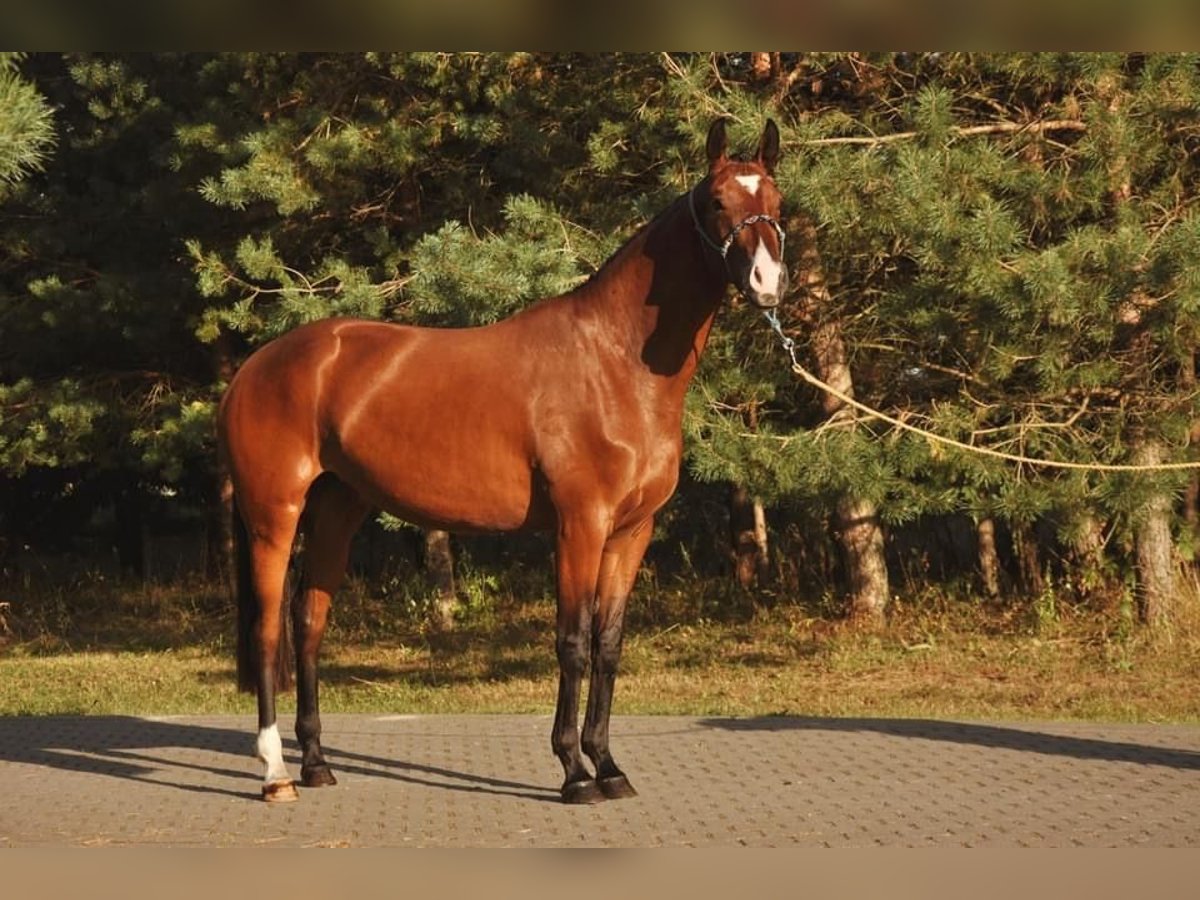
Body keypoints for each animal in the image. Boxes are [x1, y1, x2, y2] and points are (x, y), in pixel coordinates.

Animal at [220, 118, 792, 801]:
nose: (766, 283)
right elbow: (572, 642)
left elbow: (608, 645)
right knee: (268, 633)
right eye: (718, 202)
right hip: (272, 515)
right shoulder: (580, 526)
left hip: (337, 509)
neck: (613, 360)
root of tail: (254, 367)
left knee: (308, 624)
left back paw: (316, 763)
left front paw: (609, 766)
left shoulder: (631, 532)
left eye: (778, 202)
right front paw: (574, 772)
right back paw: (276, 773)